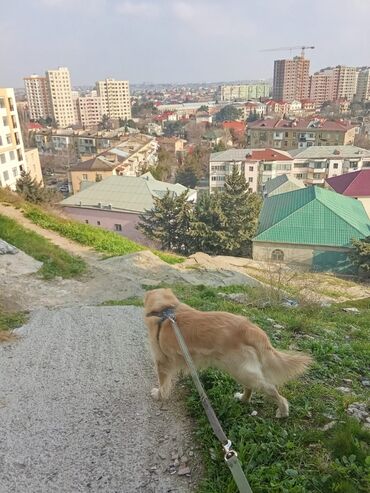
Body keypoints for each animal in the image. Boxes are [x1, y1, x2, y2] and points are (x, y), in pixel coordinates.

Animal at [145, 286, 312, 418]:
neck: (165, 310)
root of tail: (250, 328)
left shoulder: (161, 361)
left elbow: (163, 383)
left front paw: (159, 394)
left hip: (241, 370)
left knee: (270, 389)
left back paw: (283, 411)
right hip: (241, 369)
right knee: (250, 387)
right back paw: (243, 399)